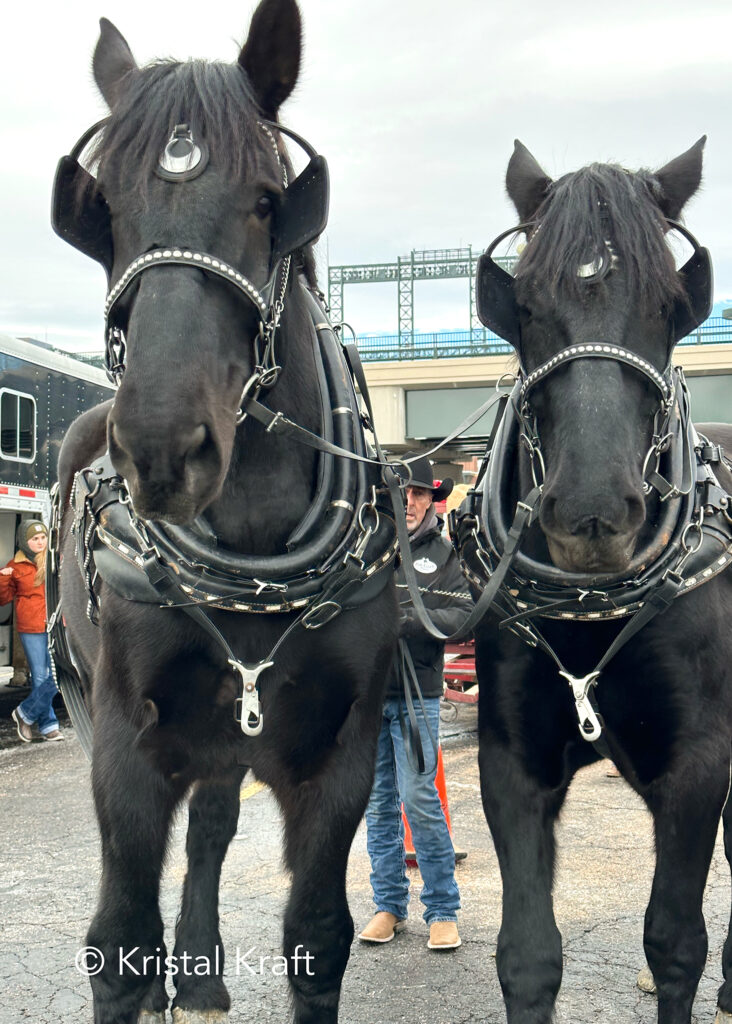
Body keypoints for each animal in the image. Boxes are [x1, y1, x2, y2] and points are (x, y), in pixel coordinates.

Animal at [54, 4, 397, 1019]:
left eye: (266, 200)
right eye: (104, 211)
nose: (163, 446)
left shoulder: (340, 752)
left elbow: (317, 935)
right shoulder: (126, 746)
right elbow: (119, 937)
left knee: (209, 828)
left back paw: (202, 972)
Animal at [468, 138, 732, 1024]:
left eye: (669, 304)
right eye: (524, 304)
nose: (590, 512)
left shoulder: (699, 761)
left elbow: (675, 943)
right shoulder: (512, 762)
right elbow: (527, 956)